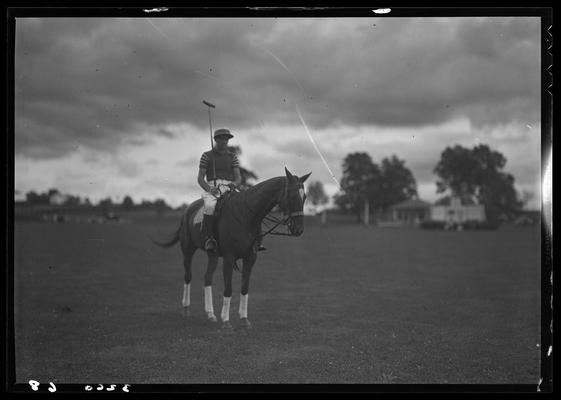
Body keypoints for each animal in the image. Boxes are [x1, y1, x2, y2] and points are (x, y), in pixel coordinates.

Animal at [152, 168, 310, 328]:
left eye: (305, 197)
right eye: (292, 195)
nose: (298, 229)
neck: (247, 216)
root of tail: (188, 209)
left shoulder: (251, 257)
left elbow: (244, 287)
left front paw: (244, 319)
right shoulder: (229, 257)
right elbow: (228, 288)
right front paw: (226, 321)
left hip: (213, 254)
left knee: (207, 278)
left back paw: (210, 314)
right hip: (187, 250)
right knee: (188, 276)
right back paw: (186, 309)